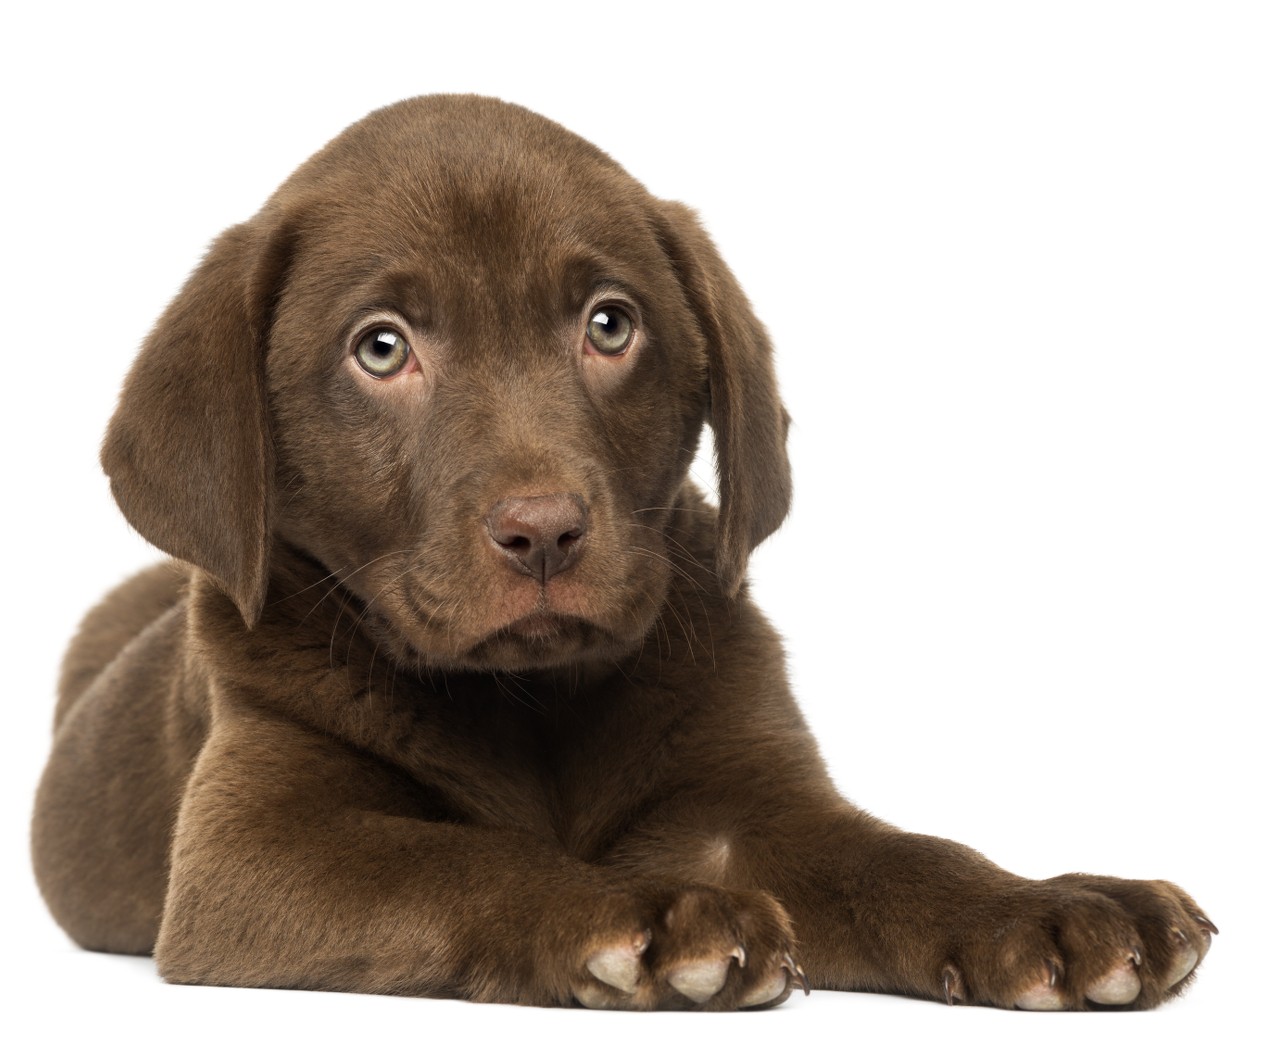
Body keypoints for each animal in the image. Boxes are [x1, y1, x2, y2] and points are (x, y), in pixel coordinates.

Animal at [32, 95, 1213, 1006]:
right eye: (381, 348)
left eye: (610, 324)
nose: (544, 531)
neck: (532, 702)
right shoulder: (250, 849)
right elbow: (462, 856)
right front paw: (646, 914)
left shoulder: (751, 801)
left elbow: (903, 857)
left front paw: (1055, 907)